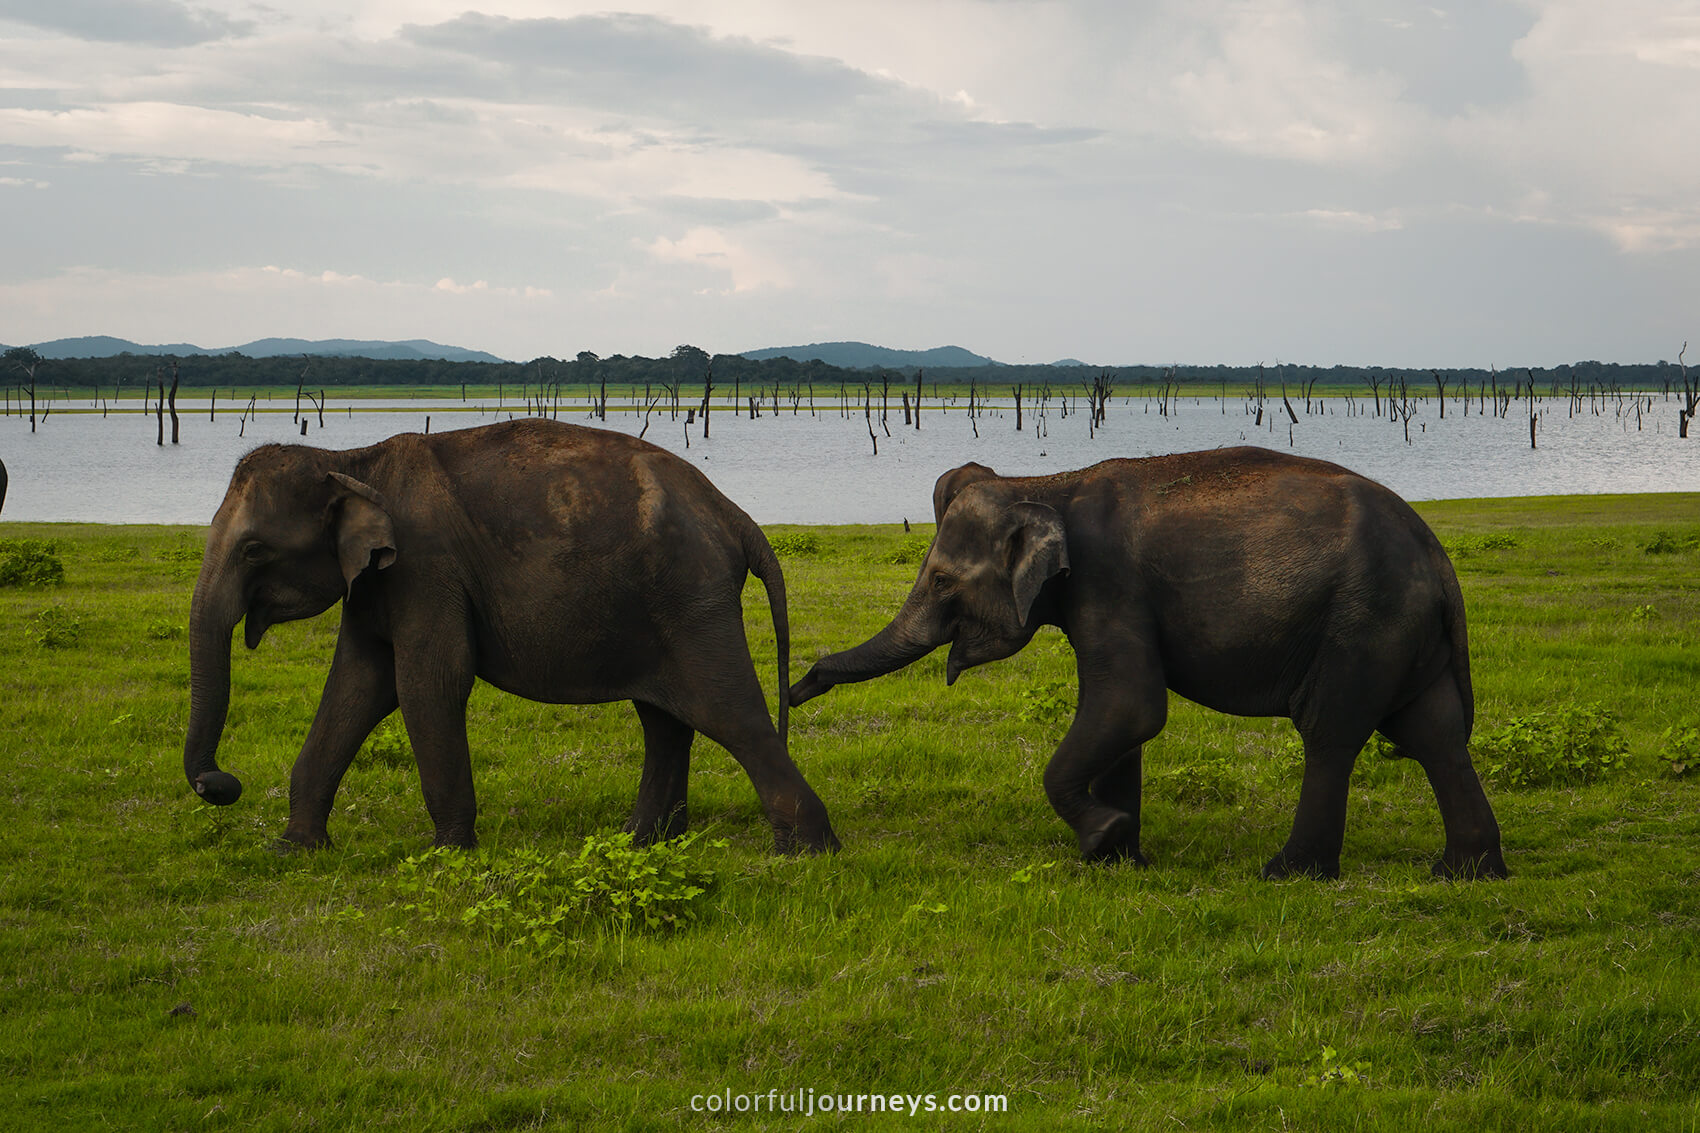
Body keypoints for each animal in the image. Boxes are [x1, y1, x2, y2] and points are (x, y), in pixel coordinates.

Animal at [183, 417, 838, 854]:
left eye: (253, 549)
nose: (222, 784)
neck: (351, 456)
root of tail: (735, 514)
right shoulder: (374, 583)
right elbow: (356, 686)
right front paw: (294, 849)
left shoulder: (427, 569)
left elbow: (427, 684)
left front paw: (447, 855)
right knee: (666, 718)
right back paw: (639, 841)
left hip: (691, 598)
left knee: (729, 713)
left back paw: (805, 852)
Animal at [790, 447, 1506, 880]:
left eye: (941, 580)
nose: (799, 685)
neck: (1046, 484)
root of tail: (1438, 557)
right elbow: (1123, 723)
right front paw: (1116, 858)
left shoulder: (1109, 582)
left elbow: (1130, 707)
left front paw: (1101, 837)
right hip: (1401, 633)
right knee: (1435, 734)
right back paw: (1463, 873)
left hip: (1362, 622)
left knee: (1331, 734)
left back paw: (1287, 873)